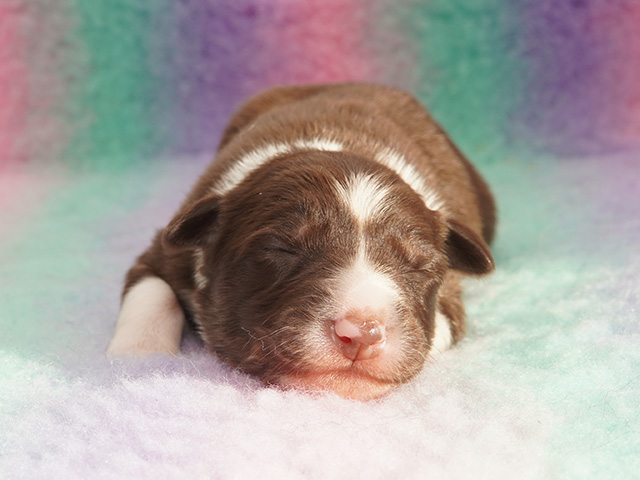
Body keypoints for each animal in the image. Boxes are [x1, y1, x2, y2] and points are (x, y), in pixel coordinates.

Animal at [108, 83, 496, 400]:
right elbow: (151, 294)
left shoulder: (450, 301)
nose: (362, 334)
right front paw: (138, 359)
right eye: (281, 249)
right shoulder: (167, 250)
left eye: (420, 267)